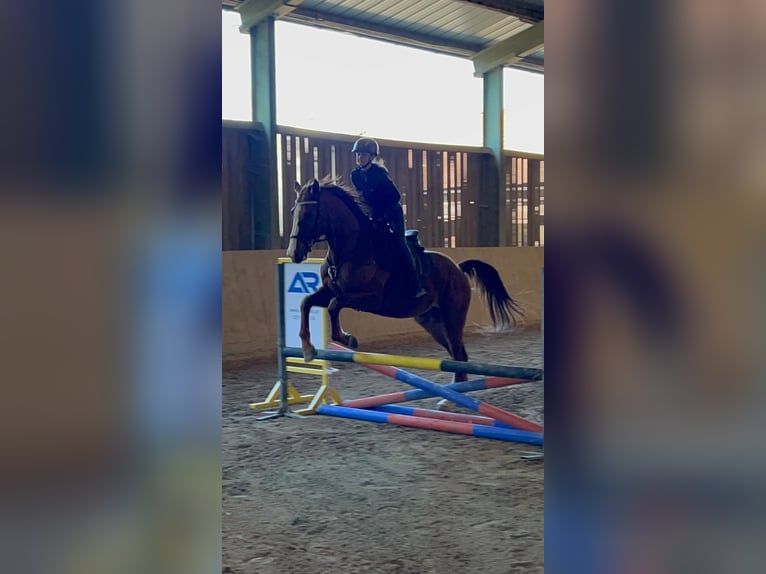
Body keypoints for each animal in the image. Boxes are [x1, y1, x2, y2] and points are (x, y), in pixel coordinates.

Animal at [286, 177, 525, 383]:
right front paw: (308, 349)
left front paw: (347, 339)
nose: (293, 254)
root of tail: (458, 269)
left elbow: (335, 306)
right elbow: (306, 302)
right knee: (457, 355)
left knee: (459, 354)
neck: (349, 251)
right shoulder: (330, 290)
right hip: (432, 321)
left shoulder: (369, 298)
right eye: (293, 212)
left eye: (308, 214)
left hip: (453, 317)